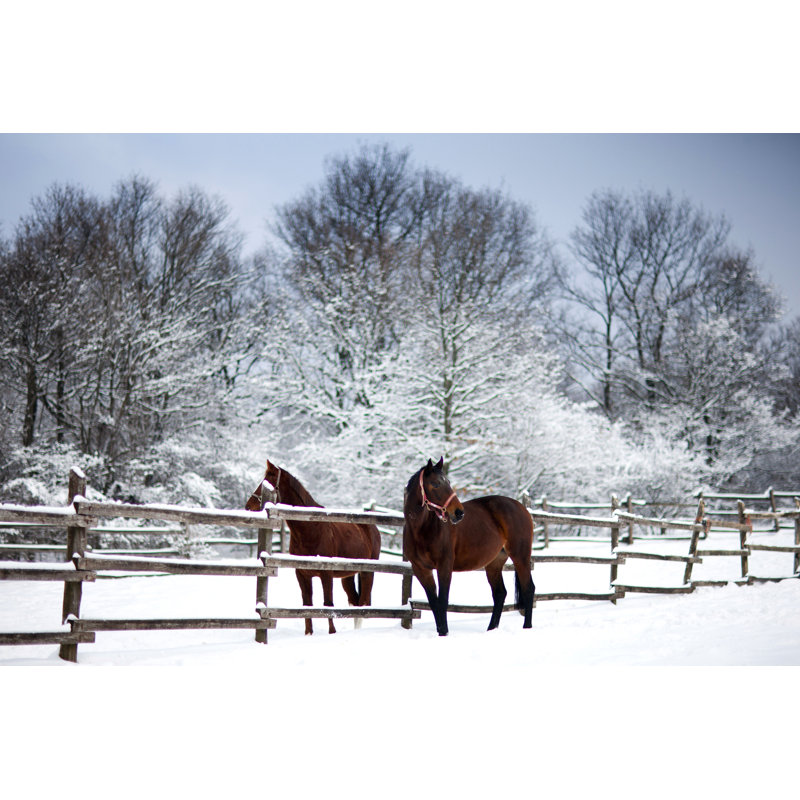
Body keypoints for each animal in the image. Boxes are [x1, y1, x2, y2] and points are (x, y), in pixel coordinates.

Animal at [245, 460, 381, 635]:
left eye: (269, 482)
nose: (249, 506)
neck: (311, 529)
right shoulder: (302, 574)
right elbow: (307, 604)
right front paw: (309, 633)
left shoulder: (326, 574)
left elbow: (328, 603)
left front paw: (332, 632)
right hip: (347, 576)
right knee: (354, 601)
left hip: (367, 572)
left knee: (363, 603)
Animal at [403, 458, 535, 636]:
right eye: (435, 484)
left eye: (448, 482)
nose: (458, 512)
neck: (421, 530)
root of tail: (522, 508)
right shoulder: (421, 570)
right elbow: (434, 603)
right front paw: (441, 632)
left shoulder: (444, 566)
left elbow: (442, 602)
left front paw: (444, 634)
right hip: (494, 563)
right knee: (500, 593)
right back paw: (491, 629)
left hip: (520, 557)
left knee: (528, 589)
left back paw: (527, 627)